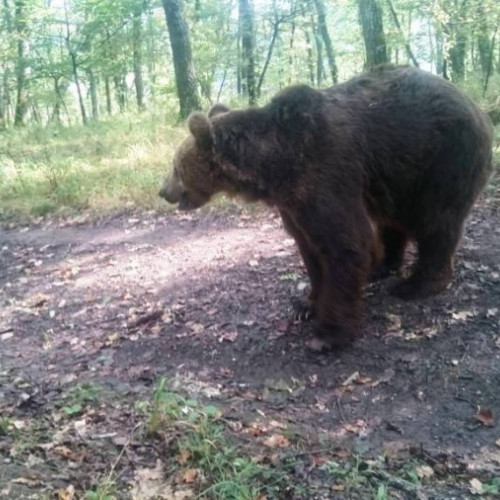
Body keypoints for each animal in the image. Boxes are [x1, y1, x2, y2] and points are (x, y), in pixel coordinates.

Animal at [159, 64, 492, 350]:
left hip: (445, 158)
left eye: (175, 166)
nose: (163, 191)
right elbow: (311, 250)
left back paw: (416, 285)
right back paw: (383, 266)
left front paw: (328, 334)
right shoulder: (294, 203)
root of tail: (478, 107)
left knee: (437, 222)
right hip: (400, 175)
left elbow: (347, 243)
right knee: (394, 221)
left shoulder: (326, 172)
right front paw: (305, 303)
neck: (276, 166)